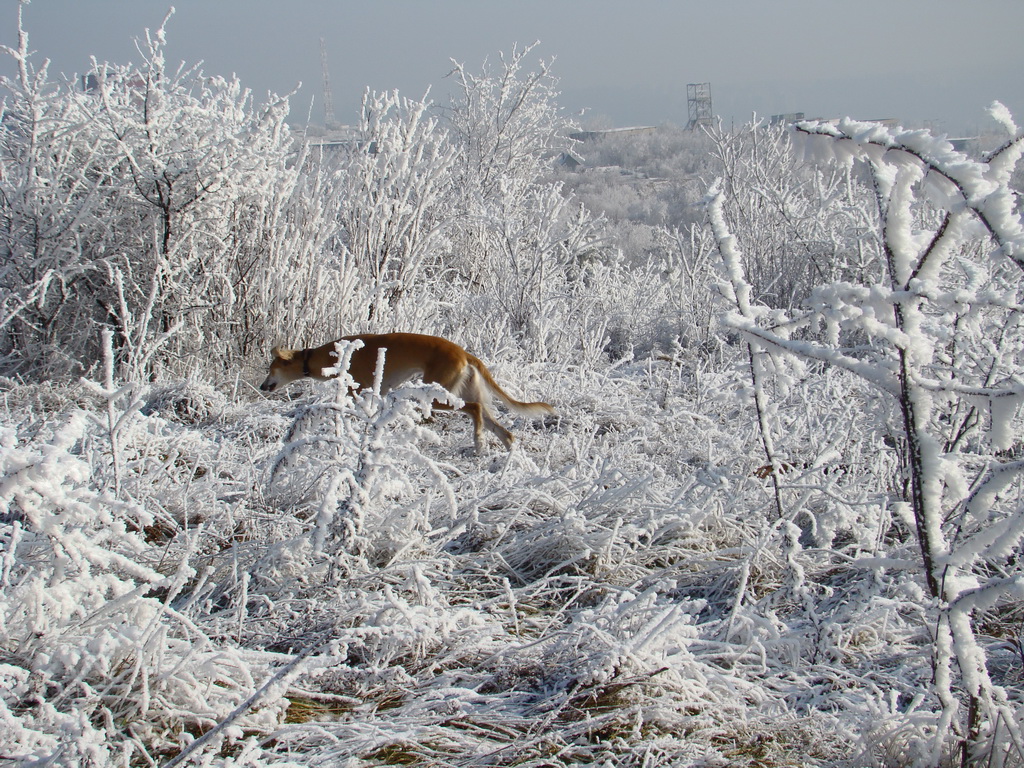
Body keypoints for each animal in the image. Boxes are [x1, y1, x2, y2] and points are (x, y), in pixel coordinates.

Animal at [260, 331, 557, 450]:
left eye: (271, 369)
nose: (263, 387)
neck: (328, 356)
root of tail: (464, 353)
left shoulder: (360, 393)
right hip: (464, 391)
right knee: (500, 426)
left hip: (437, 396)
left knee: (475, 411)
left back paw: (478, 444)